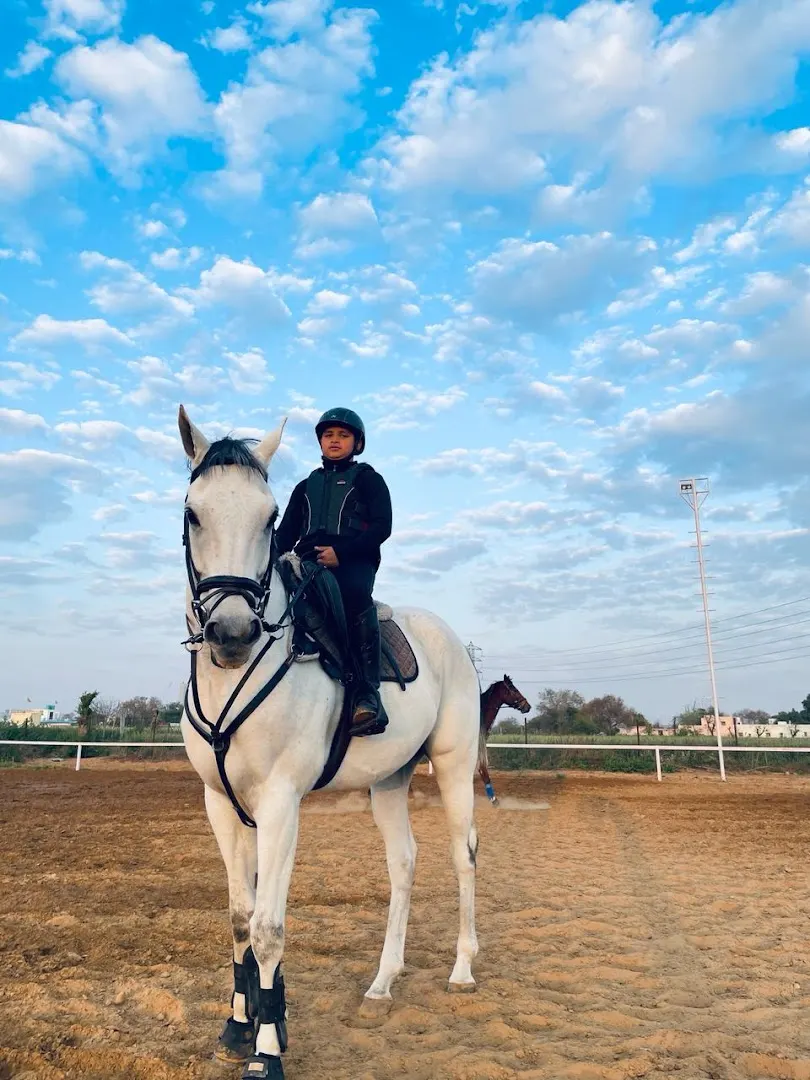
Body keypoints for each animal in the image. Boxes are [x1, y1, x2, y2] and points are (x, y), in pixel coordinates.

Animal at [176, 407, 484, 1079]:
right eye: (193, 513)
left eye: (269, 518)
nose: (232, 632)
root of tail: (448, 635)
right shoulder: (221, 804)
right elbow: (241, 917)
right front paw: (241, 1024)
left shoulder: (281, 802)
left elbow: (269, 927)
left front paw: (267, 1052)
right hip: (389, 781)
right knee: (404, 863)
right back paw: (382, 983)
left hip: (452, 768)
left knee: (462, 857)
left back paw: (462, 970)